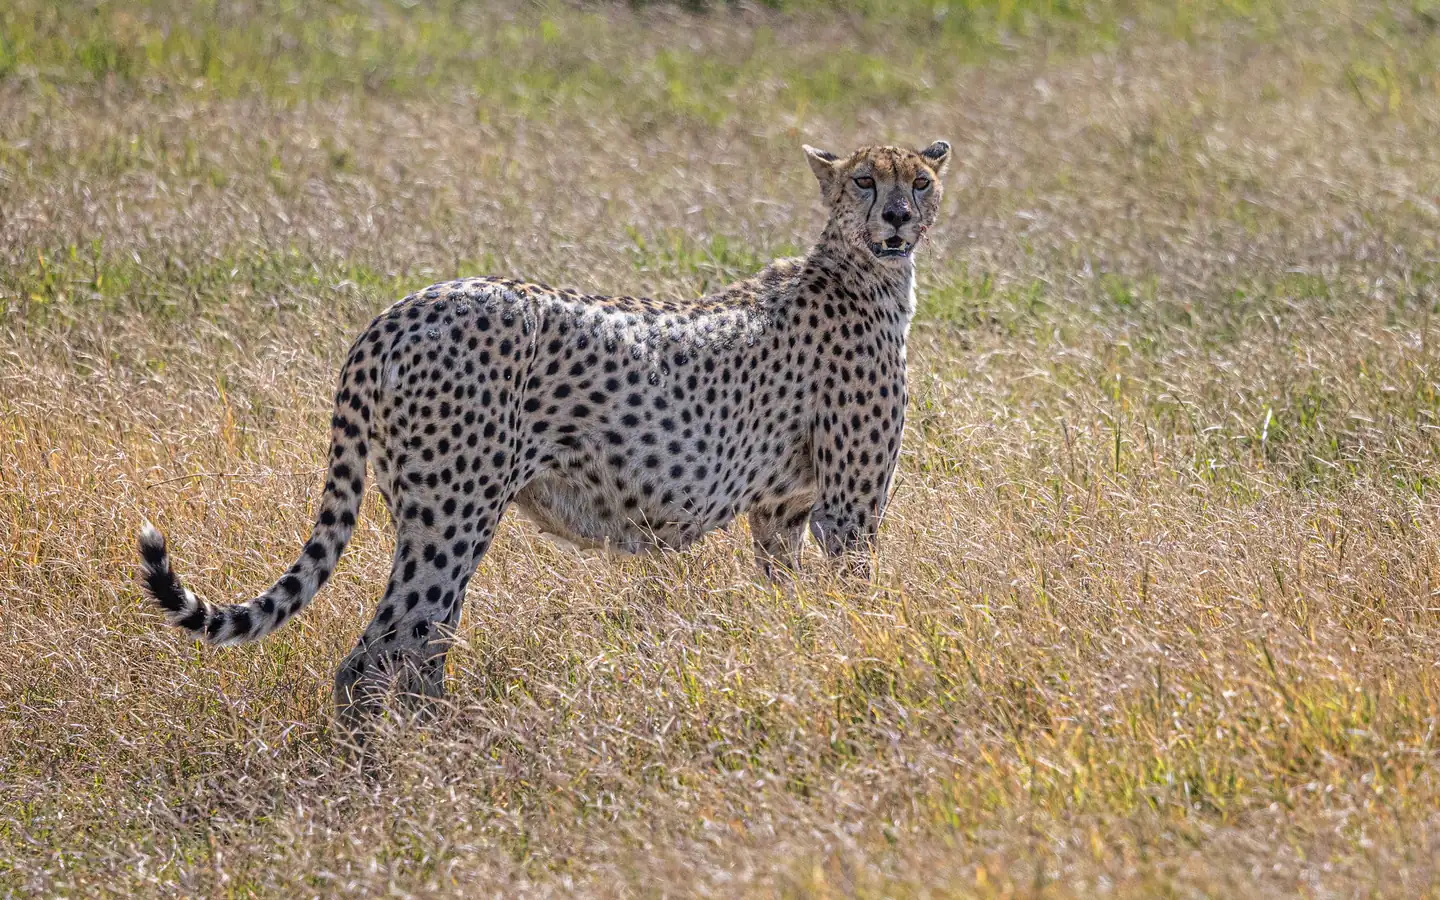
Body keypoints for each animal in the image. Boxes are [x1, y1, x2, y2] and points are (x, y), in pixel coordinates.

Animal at [138, 139, 951, 728]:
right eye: (864, 182)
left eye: (920, 182)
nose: (897, 218)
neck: (863, 273)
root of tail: (405, 306)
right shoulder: (848, 511)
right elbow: (856, 598)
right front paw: (859, 650)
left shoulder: (781, 513)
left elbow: (789, 602)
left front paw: (799, 652)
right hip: (455, 513)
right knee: (380, 653)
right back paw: (407, 771)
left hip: (431, 511)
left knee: (421, 647)